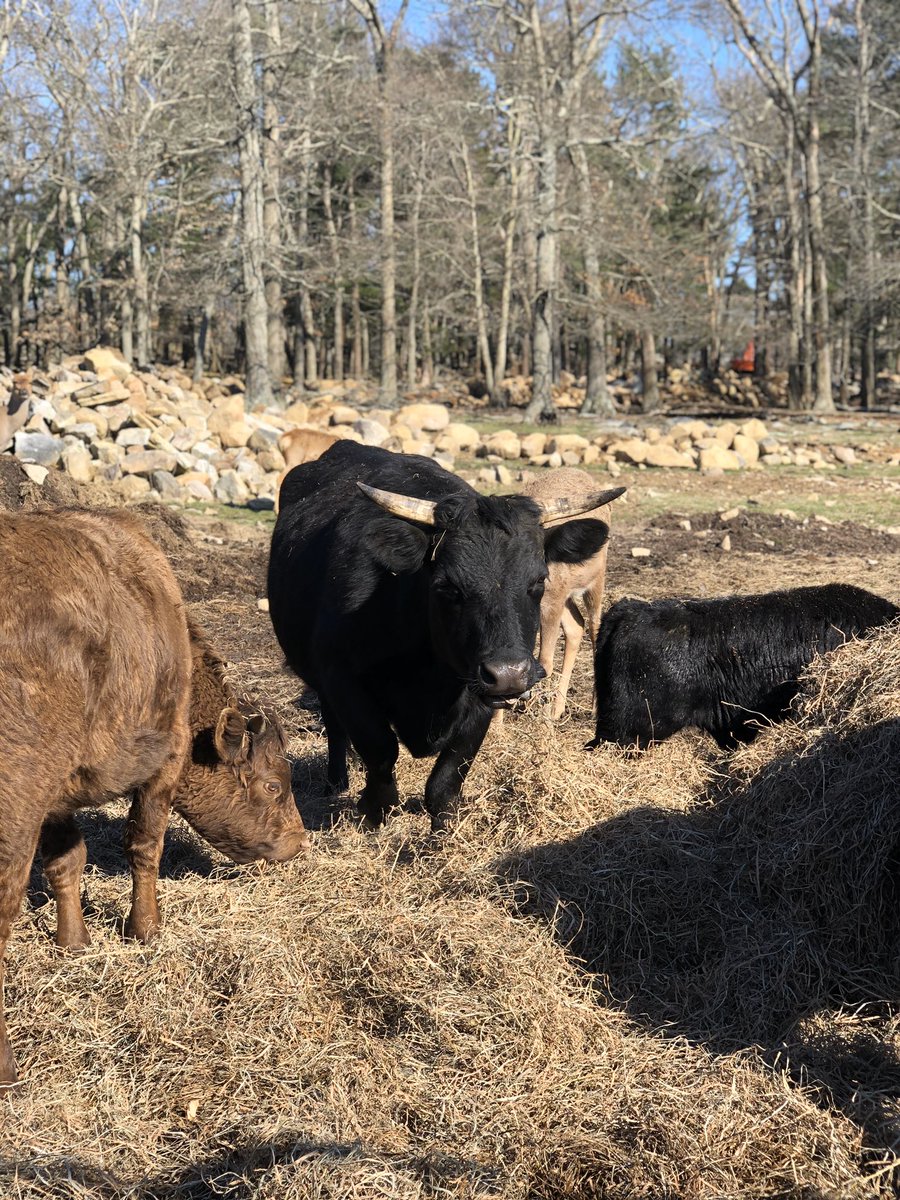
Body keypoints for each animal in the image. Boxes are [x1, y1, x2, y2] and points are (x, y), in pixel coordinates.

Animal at [0, 508, 310, 1085]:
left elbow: (66, 860)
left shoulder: (57, 797)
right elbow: (145, 846)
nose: (298, 841)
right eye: (273, 785)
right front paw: (146, 929)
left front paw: (74, 943)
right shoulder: (164, 764)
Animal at [522, 468, 619, 719]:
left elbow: (545, 662)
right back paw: (558, 708)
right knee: (576, 626)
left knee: (594, 626)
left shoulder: (550, 606)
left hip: (595, 583)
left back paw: (594, 706)